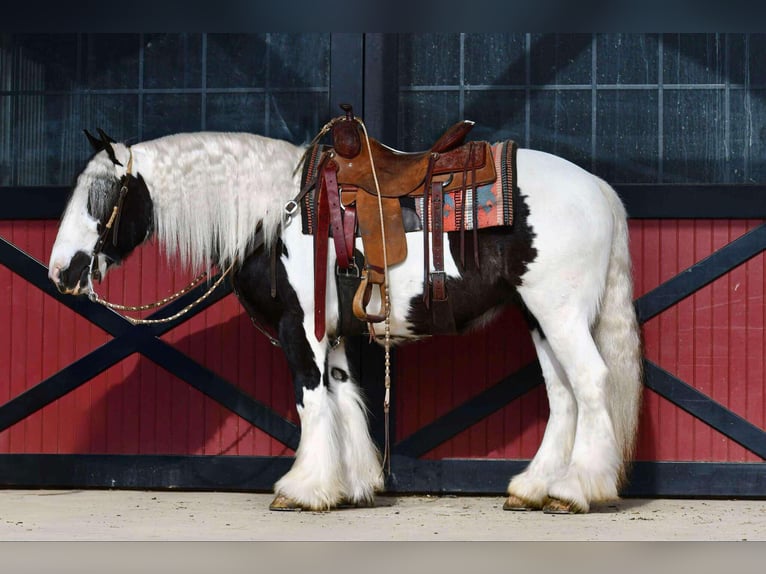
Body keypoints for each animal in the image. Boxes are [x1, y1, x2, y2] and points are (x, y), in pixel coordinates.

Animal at [48, 124, 644, 516]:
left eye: (101, 196)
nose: (60, 271)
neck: (278, 212)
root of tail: (598, 189)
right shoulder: (330, 335)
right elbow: (343, 398)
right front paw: (352, 483)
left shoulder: (300, 329)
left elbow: (311, 400)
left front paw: (303, 489)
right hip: (538, 317)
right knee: (563, 393)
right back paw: (534, 488)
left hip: (560, 314)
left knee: (590, 382)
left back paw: (574, 490)